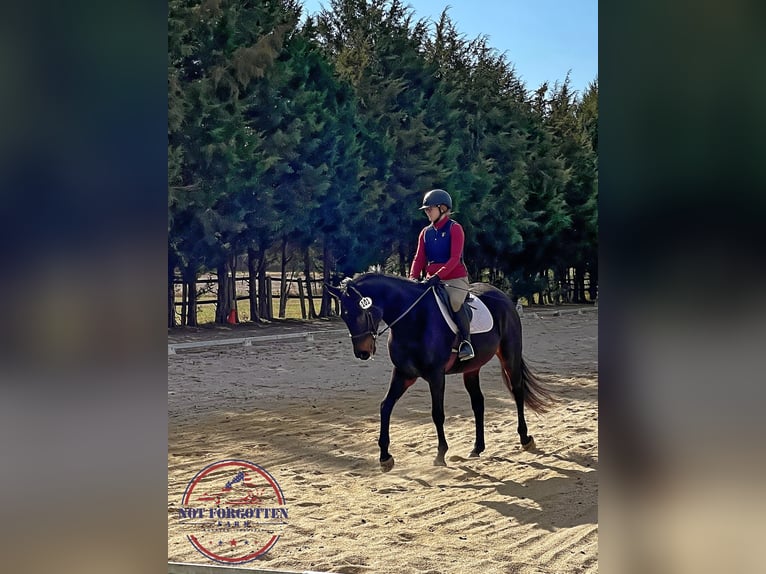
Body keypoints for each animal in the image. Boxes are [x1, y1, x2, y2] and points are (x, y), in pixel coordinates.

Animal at [324, 274, 552, 472]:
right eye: (344, 315)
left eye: (362, 312)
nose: (362, 353)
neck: (413, 320)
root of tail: (501, 295)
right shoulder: (403, 374)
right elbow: (385, 406)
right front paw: (385, 458)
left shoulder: (436, 376)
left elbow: (437, 414)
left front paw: (440, 454)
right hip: (472, 368)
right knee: (478, 402)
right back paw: (477, 448)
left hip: (509, 355)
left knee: (517, 391)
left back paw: (525, 438)